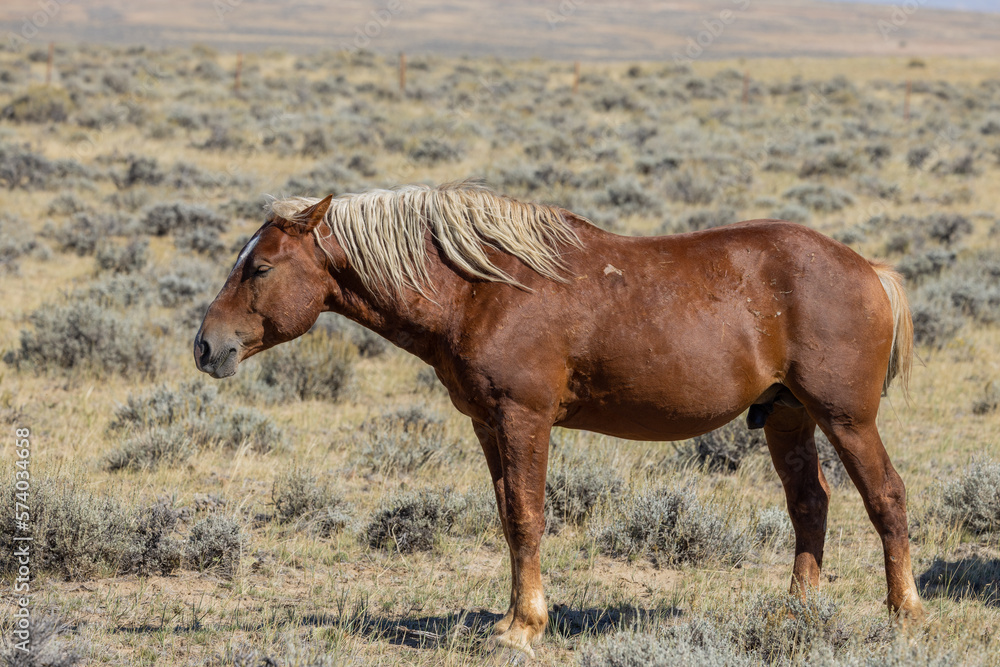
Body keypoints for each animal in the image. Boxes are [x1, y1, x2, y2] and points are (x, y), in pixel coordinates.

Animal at [194, 182, 925, 657]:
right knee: (810, 502)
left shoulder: (524, 418)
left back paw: (904, 611)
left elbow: (527, 515)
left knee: (886, 496)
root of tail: (868, 267)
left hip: (845, 417)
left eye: (261, 268)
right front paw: (512, 617)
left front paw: (524, 627)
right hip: (786, 417)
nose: (205, 346)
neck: (482, 288)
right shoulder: (487, 423)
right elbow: (507, 518)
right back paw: (798, 609)